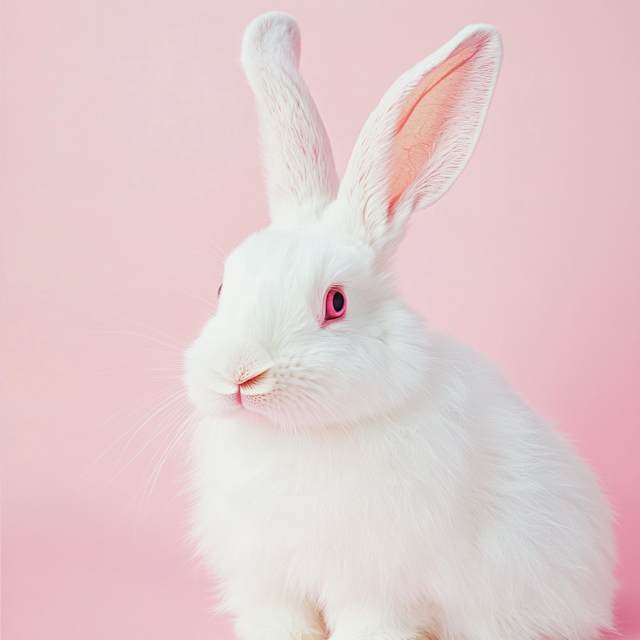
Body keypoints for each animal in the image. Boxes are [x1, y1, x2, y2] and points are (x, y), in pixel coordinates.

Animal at [185, 11, 616, 640]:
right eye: (222, 288)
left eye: (336, 302)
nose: (241, 375)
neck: (297, 436)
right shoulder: (270, 581)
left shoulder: (375, 585)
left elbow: (372, 622)